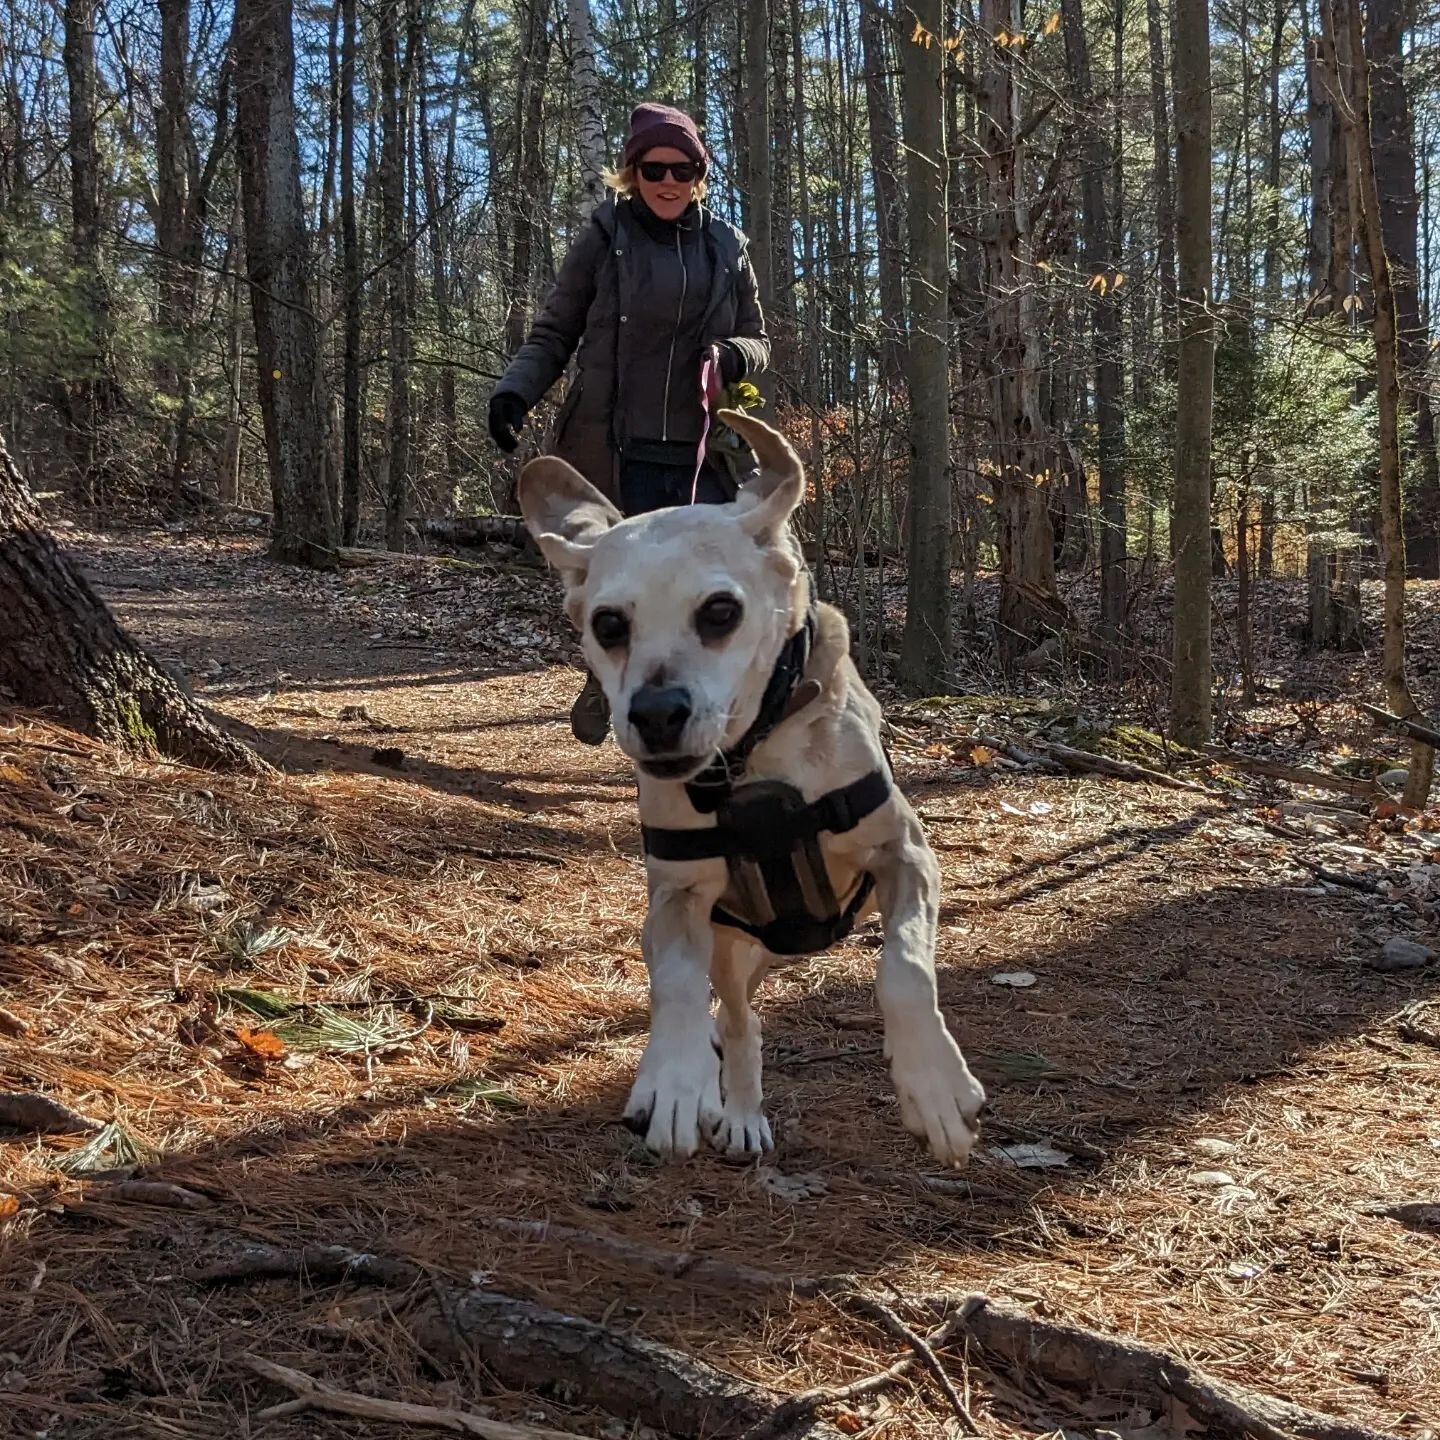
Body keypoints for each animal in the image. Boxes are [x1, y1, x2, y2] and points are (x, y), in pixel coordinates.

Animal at [521, 411, 990, 1163]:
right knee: (737, 1023)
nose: (656, 714)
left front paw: (933, 1084)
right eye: (608, 624)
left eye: (720, 611)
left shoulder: (907, 856)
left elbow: (904, 967)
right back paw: (726, 1107)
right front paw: (674, 1082)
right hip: (732, 946)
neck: (754, 761)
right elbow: (677, 989)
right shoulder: (679, 898)